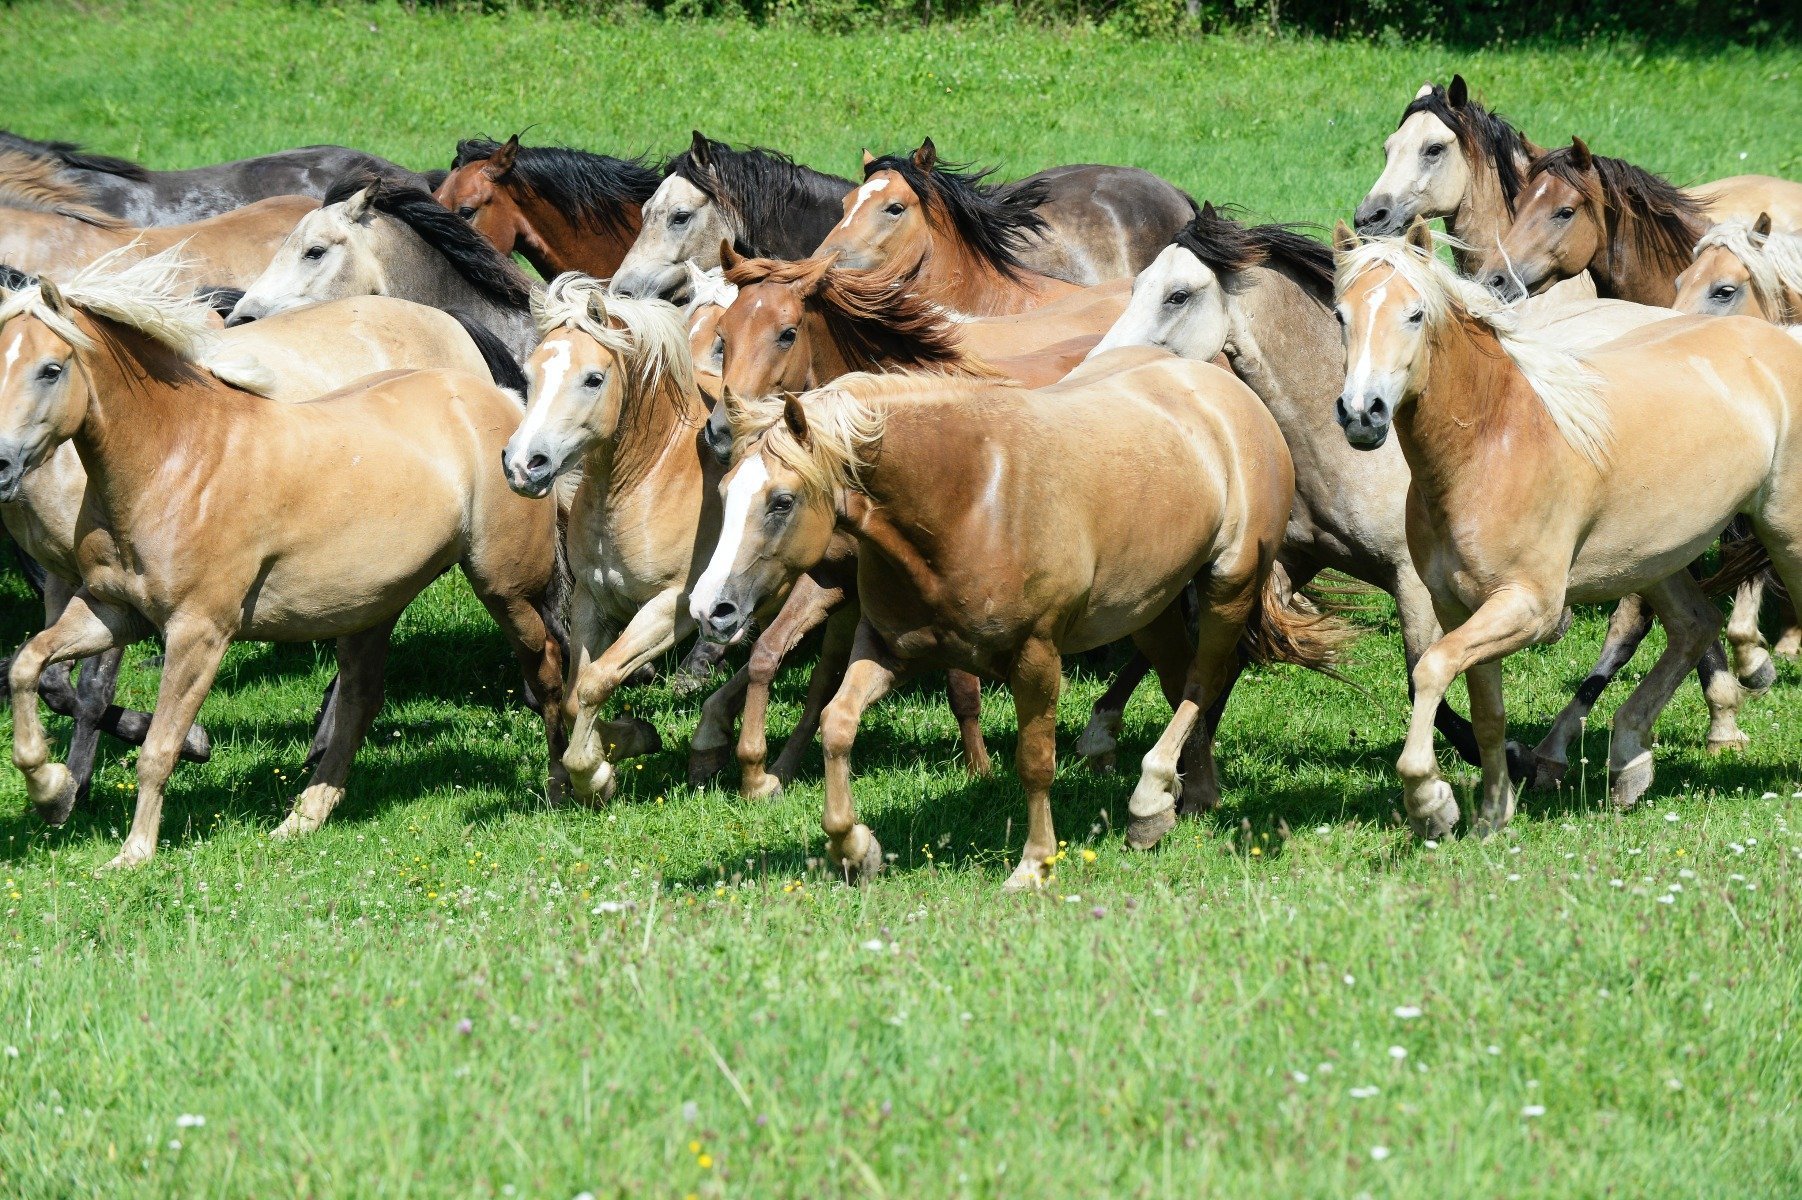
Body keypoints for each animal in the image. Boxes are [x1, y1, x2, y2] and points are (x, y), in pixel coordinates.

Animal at [0, 249, 566, 869]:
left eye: (51, 369)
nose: (0, 465)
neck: (177, 460)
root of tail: (504, 402)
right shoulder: (109, 609)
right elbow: (29, 666)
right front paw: (51, 790)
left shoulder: (198, 631)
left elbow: (159, 747)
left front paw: (133, 853)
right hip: (371, 606)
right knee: (361, 701)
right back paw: (302, 818)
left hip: (506, 589)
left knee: (549, 666)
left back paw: (571, 780)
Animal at [499, 275, 721, 803]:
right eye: (530, 375)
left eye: (593, 379)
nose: (522, 465)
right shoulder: (591, 600)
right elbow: (574, 693)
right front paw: (624, 743)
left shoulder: (670, 608)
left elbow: (595, 683)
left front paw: (596, 773)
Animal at [686, 356, 1347, 888]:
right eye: (724, 490)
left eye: (782, 501)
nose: (709, 609)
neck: (970, 498)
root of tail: (1230, 394)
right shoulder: (890, 649)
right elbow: (837, 724)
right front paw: (855, 848)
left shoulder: (1037, 657)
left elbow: (1035, 761)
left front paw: (1033, 865)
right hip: (1151, 608)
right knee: (1183, 679)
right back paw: (1186, 800)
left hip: (1227, 586)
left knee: (1204, 679)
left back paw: (1149, 795)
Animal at [1332, 218, 1802, 838]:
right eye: (1341, 315)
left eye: (1414, 314)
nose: (1363, 413)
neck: (1496, 442)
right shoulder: (1462, 607)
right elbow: (1486, 711)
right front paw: (1492, 815)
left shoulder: (1530, 608)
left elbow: (1431, 669)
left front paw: (1430, 801)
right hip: (1656, 558)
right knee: (1694, 626)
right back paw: (1629, 763)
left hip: (1785, 537)